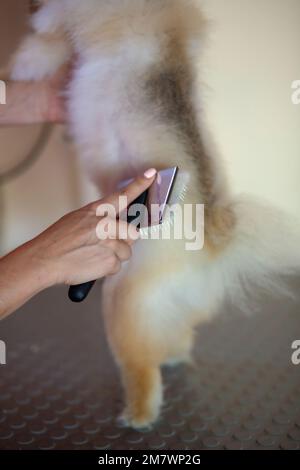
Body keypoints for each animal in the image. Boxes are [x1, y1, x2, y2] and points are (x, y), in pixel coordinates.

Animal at [11, 0, 300, 428]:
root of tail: (215, 252)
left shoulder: (80, 18)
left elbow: (49, 37)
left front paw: (20, 64)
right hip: (168, 305)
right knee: (178, 335)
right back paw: (175, 357)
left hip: (125, 300)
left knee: (141, 366)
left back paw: (138, 413)